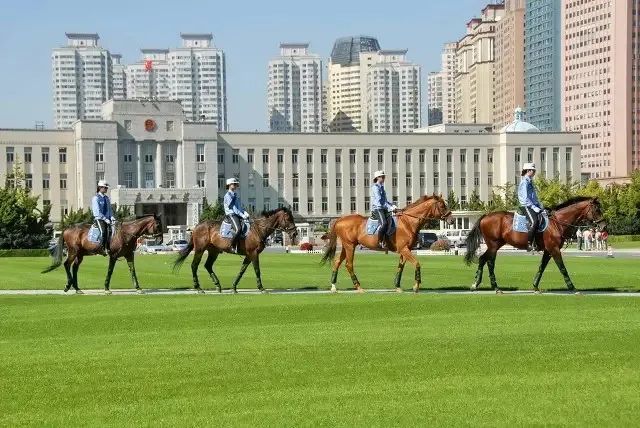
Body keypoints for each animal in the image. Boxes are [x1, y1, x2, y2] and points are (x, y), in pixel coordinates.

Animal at [322, 195, 452, 292]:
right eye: (442, 206)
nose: (451, 219)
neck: (408, 222)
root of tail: (340, 219)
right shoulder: (404, 249)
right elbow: (417, 264)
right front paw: (416, 286)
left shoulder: (406, 249)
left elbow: (401, 267)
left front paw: (398, 286)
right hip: (350, 246)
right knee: (349, 265)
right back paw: (358, 287)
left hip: (346, 246)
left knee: (337, 262)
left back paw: (333, 287)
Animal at [462, 197, 608, 294]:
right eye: (597, 209)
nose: (603, 226)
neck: (557, 223)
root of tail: (486, 215)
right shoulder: (554, 250)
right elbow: (562, 268)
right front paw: (572, 288)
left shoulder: (548, 251)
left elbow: (541, 268)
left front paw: (535, 287)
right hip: (493, 245)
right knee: (489, 262)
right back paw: (491, 287)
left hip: (495, 245)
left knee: (484, 260)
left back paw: (480, 284)